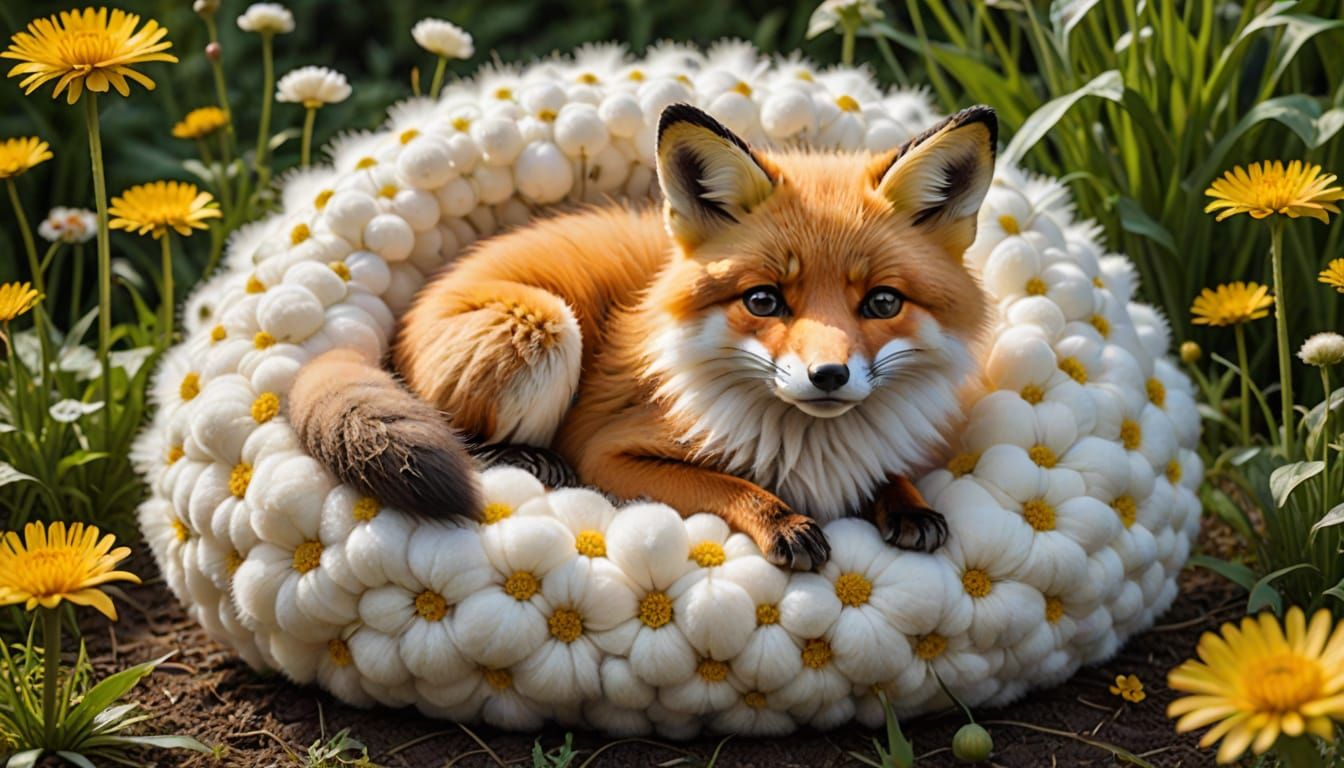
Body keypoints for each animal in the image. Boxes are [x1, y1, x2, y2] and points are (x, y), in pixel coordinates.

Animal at [289, 102, 997, 570]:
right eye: (763, 300)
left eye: (882, 302)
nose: (828, 377)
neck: (812, 451)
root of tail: (399, 320)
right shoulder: (611, 454)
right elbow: (730, 486)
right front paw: (782, 520)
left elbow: (889, 472)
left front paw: (903, 502)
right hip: (543, 327)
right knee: (458, 437)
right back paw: (527, 460)